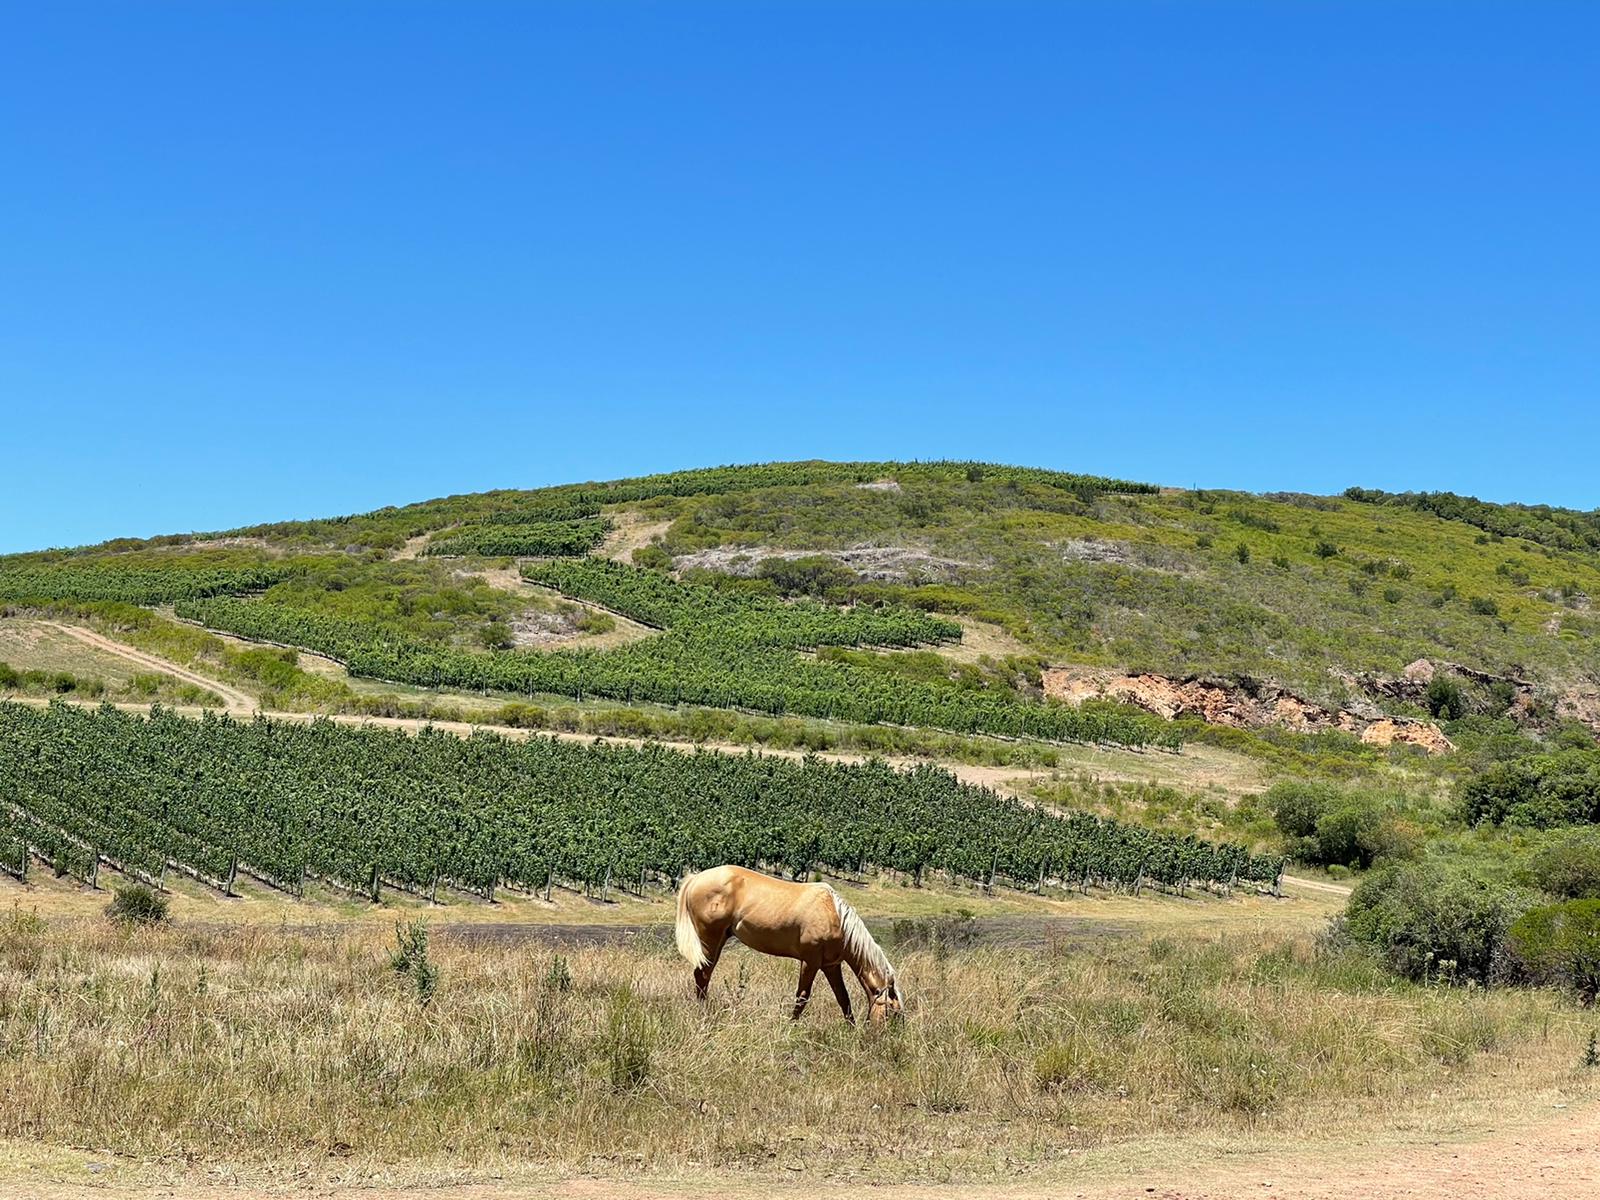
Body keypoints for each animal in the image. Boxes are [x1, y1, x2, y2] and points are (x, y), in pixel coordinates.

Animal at [672, 864, 902, 1024]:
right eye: (893, 1012)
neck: (835, 915)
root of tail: (695, 879)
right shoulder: (810, 961)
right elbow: (802, 997)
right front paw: (791, 1026)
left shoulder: (831, 965)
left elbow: (843, 998)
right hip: (709, 939)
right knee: (702, 975)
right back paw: (704, 1014)